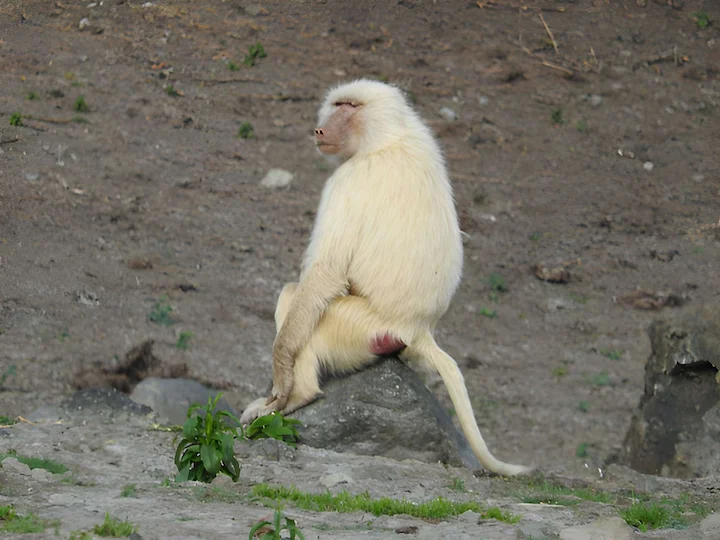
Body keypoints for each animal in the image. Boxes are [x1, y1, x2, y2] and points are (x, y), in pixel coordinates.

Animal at [240, 79, 533, 477]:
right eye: (337, 105)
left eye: (350, 107)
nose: (320, 130)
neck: (389, 137)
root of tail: (418, 329)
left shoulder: (348, 181)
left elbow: (326, 274)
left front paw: (281, 381)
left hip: (357, 328)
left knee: (293, 296)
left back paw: (297, 397)